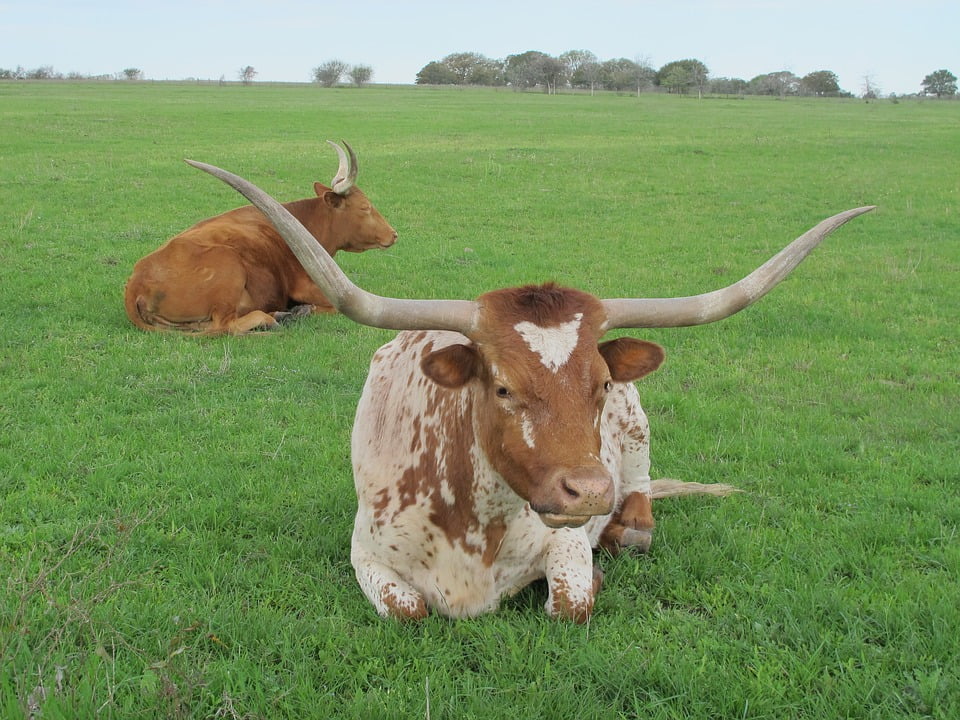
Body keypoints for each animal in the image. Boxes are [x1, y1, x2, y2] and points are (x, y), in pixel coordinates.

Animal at [124, 141, 397, 335]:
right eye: (365, 207)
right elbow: (330, 308)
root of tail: (137, 282)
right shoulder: (307, 287)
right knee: (225, 326)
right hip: (228, 266)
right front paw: (302, 310)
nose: (393, 234)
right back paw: (272, 318)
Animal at [188, 157, 874, 621]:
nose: (589, 490)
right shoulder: (368, 555)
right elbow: (410, 610)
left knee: (642, 498)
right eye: (503, 389)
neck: (470, 520)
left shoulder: (566, 538)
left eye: (600, 384)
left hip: (638, 433)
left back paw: (628, 529)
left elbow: (571, 601)